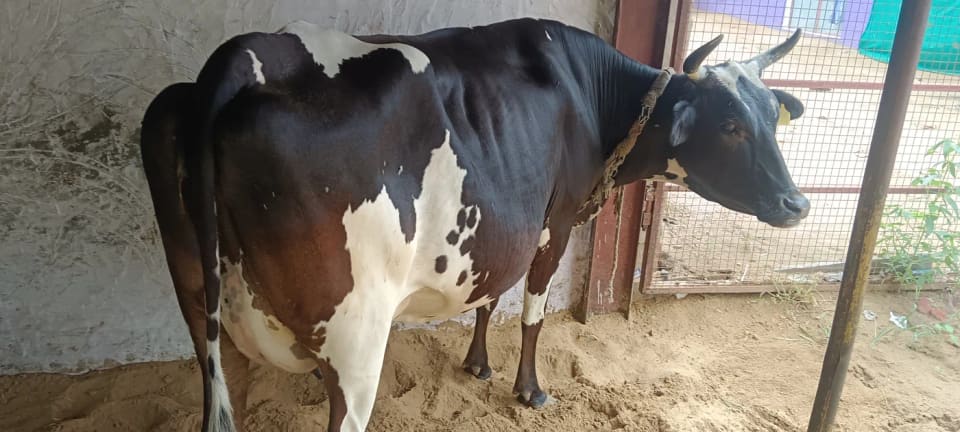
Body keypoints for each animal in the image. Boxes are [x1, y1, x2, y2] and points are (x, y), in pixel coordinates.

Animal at [140, 18, 809, 432]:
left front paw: (478, 364)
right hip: (356, 337)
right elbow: (533, 311)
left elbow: (489, 293)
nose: (798, 203)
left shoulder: (502, 221)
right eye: (731, 125)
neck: (589, 91)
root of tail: (241, 58)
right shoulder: (556, 219)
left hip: (203, 315)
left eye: (771, 116)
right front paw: (530, 390)